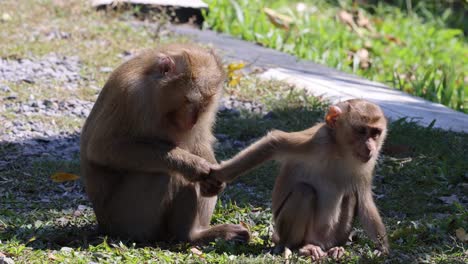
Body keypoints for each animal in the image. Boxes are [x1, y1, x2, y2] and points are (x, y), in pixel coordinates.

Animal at [81, 43, 250, 243]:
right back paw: (187, 235)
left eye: (204, 105)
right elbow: (102, 148)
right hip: (123, 219)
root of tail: (103, 225)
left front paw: (214, 177)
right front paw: (191, 164)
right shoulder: (129, 94)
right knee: (165, 174)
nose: (192, 121)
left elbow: (200, 141)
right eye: (189, 100)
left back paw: (198, 233)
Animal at [210, 99, 390, 260]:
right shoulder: (317, 140)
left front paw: (382, 249)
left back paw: (335, 248)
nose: (370, 147)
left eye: (375, 133)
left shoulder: (368, 163)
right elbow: (275, 142)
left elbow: (364, 199)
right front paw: (218, 174)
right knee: (303, 191)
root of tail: (319, 241)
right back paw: (299, 247)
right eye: (361, 131)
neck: (340, 151)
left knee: (350, 195)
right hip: (290, 231)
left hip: (333, 235)